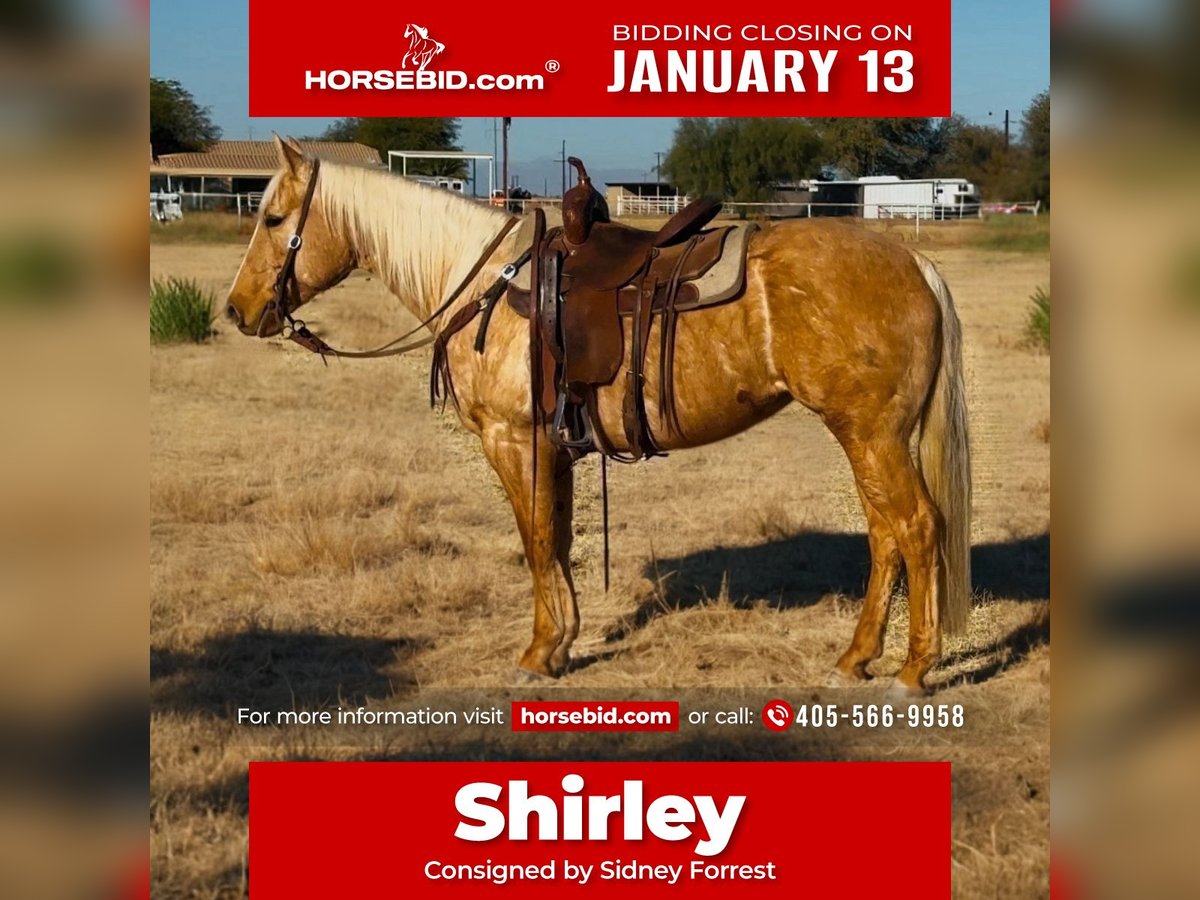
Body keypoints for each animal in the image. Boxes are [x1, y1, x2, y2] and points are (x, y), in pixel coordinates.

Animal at [226, 137, 974, 696]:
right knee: (885, 535)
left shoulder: (512, 441)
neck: (485, 284)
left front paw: (538, 653)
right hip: (869, 436)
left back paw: (913, 669)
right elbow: (555, 539)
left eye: (273, 219)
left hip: (870, 434)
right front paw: (562, 644)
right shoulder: (551, 447)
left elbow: (534, 541)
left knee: (914, 527)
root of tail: (915, 262)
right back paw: (856, 658)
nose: (237, 310)